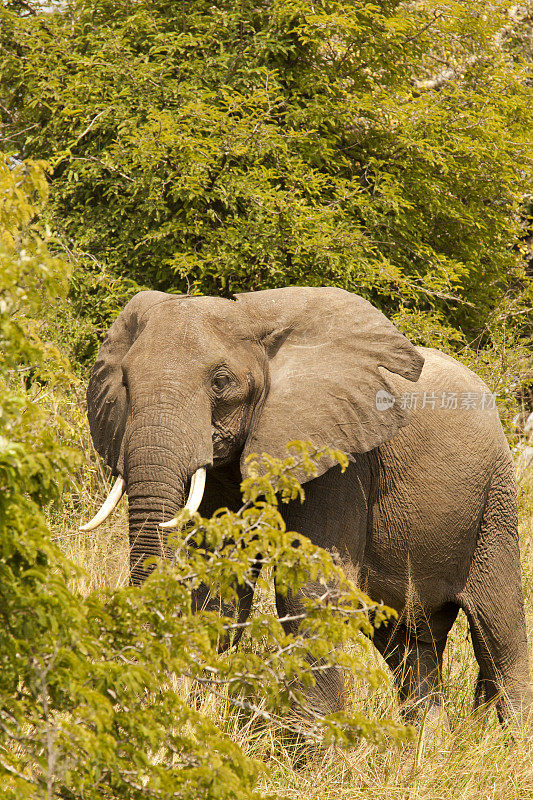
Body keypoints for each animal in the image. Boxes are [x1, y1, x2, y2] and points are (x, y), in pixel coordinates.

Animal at [81, 286, 528, 724]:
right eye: (125, 382)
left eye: (221, 382)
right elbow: (218, 590)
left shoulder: (341, 455)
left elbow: (310, 590)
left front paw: (312, 744)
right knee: (410, 644)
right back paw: (428, 742)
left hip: (496, 499)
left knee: (500, 630)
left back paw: (508, 737)